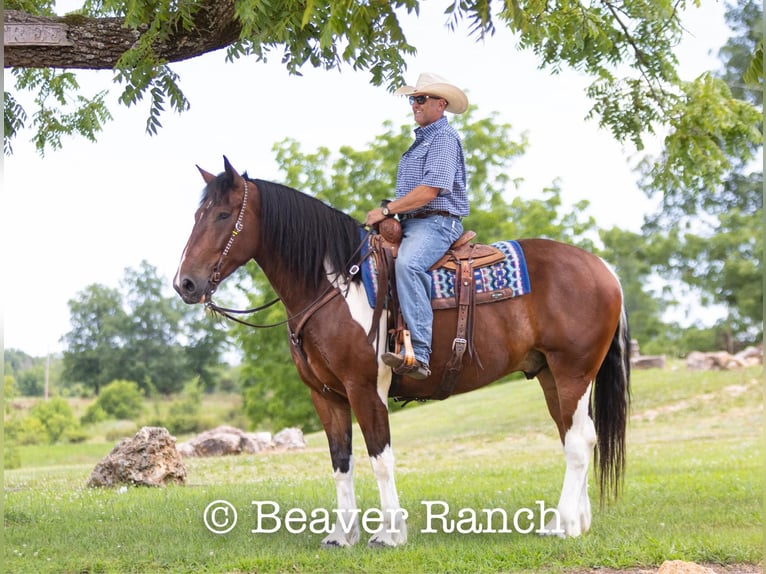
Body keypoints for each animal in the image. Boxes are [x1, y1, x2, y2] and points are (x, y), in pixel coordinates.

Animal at [177, 156, 632, 548]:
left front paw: (389, 534)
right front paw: (342, 535)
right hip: (550, 375)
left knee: (578, 442)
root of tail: (604, 269)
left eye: (223, 215)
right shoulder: (325, 395)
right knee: (577, 436)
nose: (185, 283)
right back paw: (574, 521)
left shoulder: (365, 387)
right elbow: (341, 463)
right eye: (197, 216)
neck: (334, 285)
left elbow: (380, 457)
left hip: (573, 373)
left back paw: (564, 524)